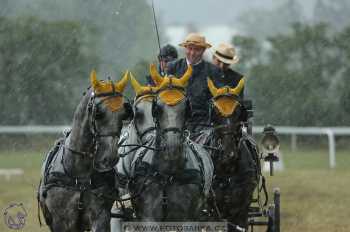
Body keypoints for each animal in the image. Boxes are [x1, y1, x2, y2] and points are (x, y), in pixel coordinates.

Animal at [38, 71, 131, 232]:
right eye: (98, 113)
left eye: (123, 114)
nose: (109, 158)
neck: (79, 173)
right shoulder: (61, 221)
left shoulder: (100, 215)